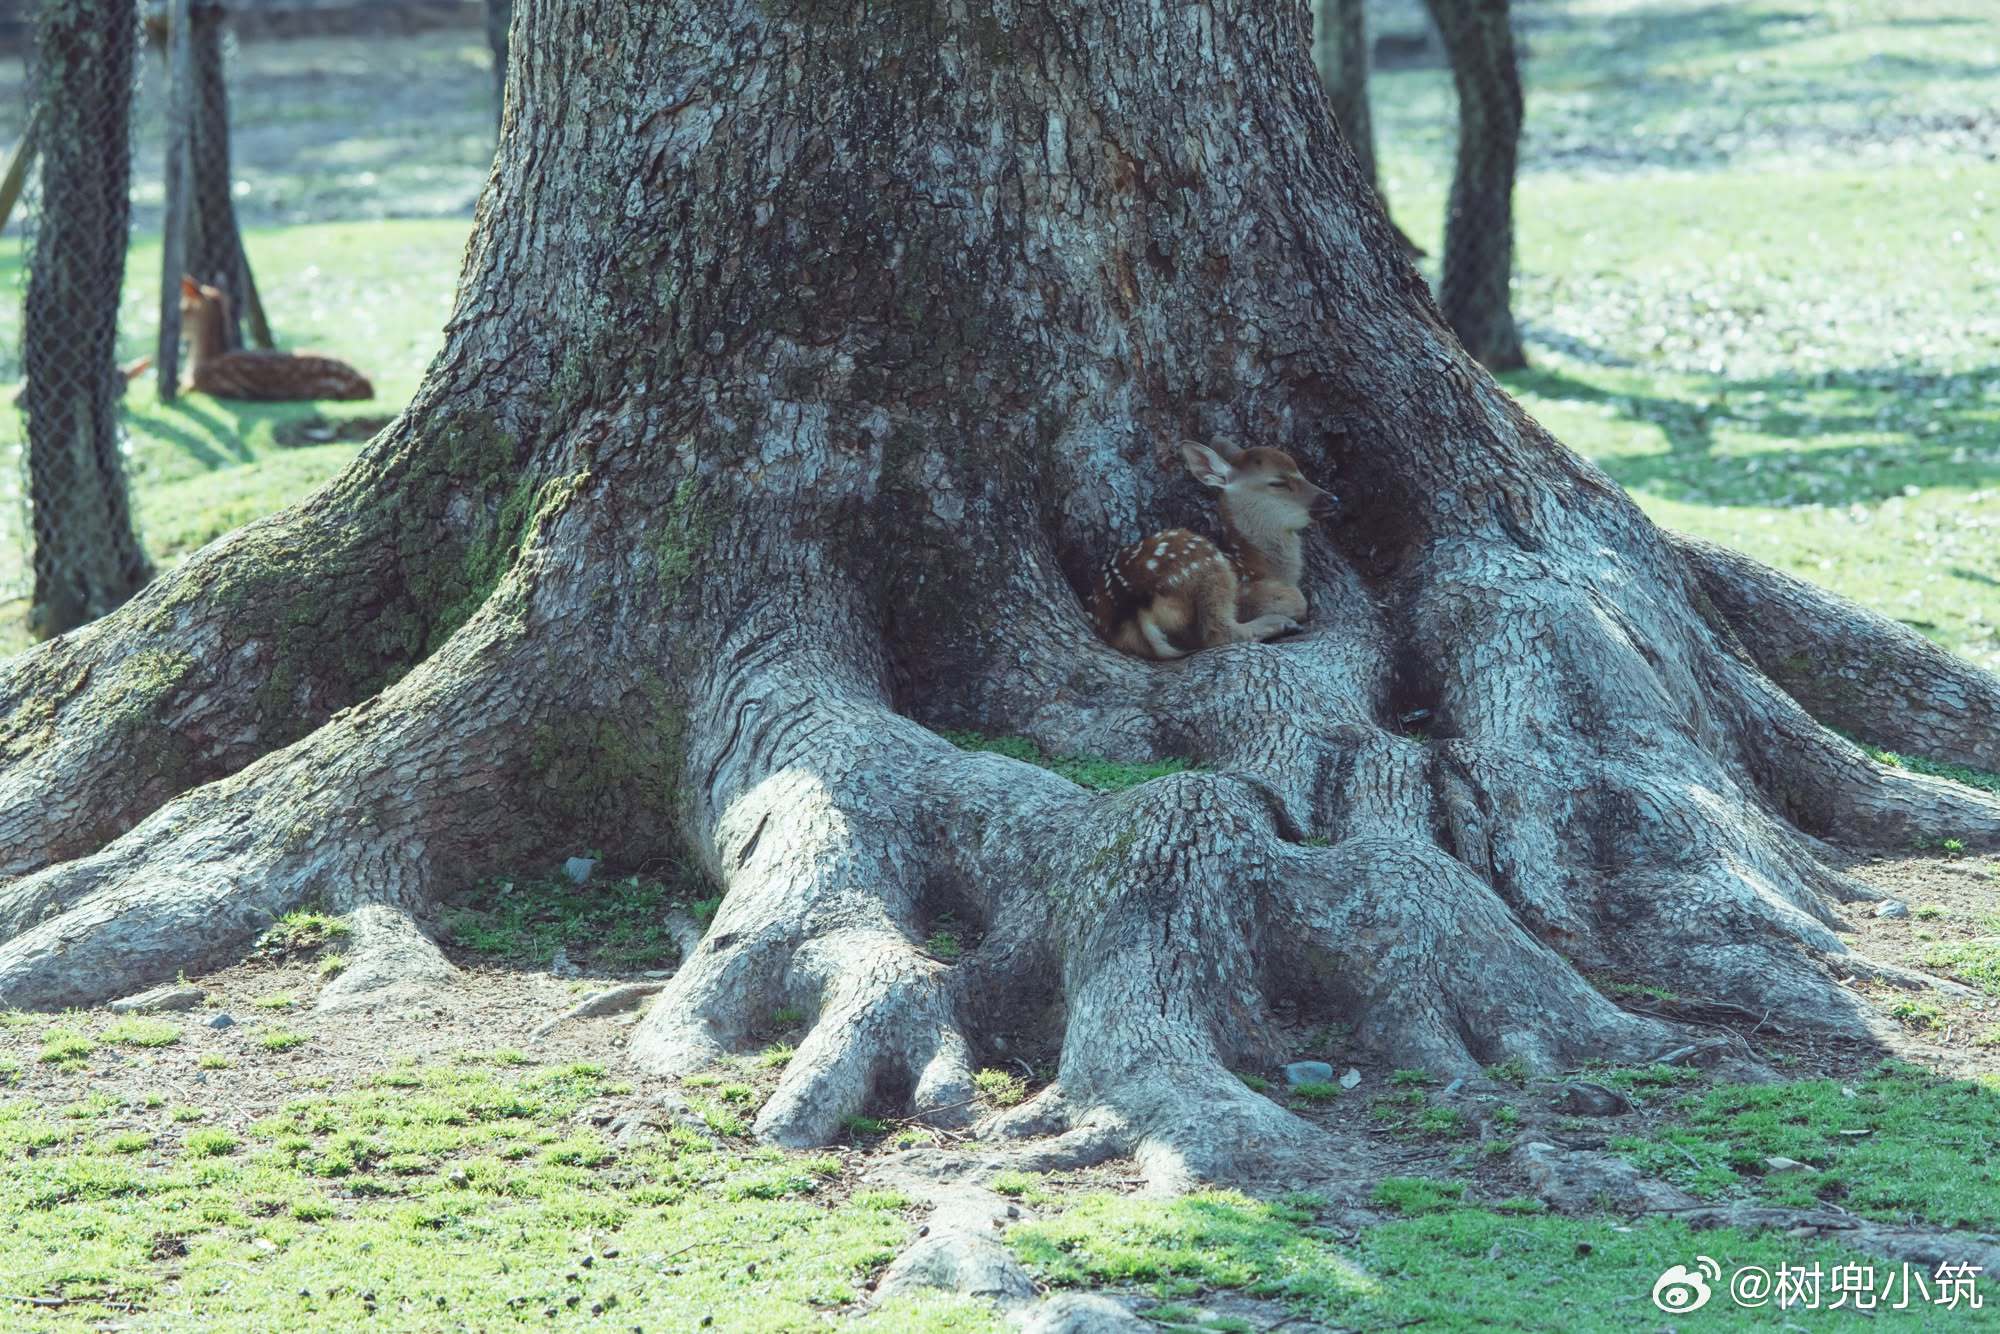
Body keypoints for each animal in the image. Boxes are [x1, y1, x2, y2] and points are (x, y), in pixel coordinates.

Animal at [1091, 440, 1334, 661]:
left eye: (1301, 472)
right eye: (1278, 482)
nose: (1332, 498)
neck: (1261, 565)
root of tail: (1135, 605)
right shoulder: (1247, 589)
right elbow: (1298, 600)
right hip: (1206, 566)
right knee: (1220, 633)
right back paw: (1283, 624)